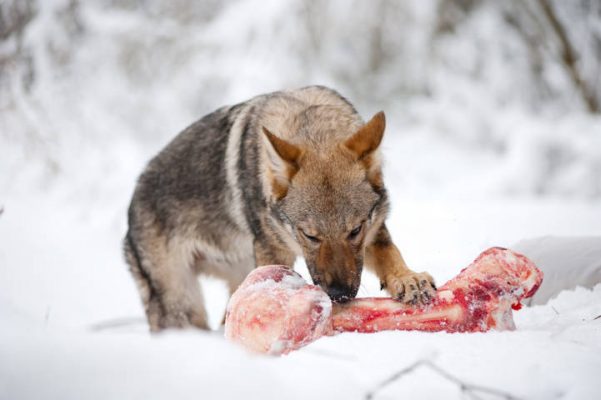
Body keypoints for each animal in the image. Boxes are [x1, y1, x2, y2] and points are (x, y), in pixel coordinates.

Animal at [124, 85, 434, 332]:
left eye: (355, 230)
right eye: (311, 236)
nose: (340, 295)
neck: (314, 131)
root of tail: (131, 208)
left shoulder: (373, 233)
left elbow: (391, 254)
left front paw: (409, 279)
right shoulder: (274, 252)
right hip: (182, 305)